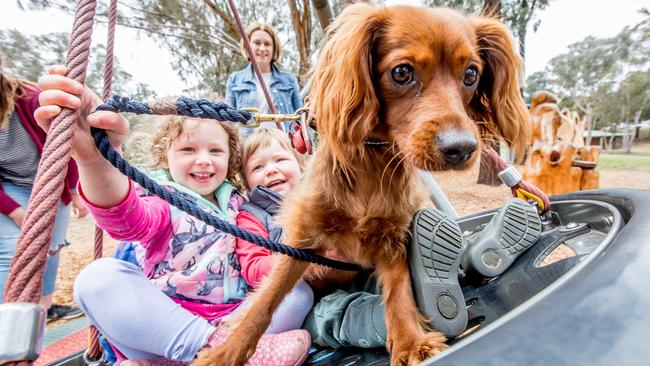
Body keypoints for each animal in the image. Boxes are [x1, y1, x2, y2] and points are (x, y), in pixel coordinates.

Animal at [195, 3, 528, 366]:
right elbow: (266, 300)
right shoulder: (303, 242)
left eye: (470, 75)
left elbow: (398, 290)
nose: (462, 148)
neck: (372, 164)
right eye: (401, 72)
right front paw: (226, 352)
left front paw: (410, 342)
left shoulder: (392, 236)